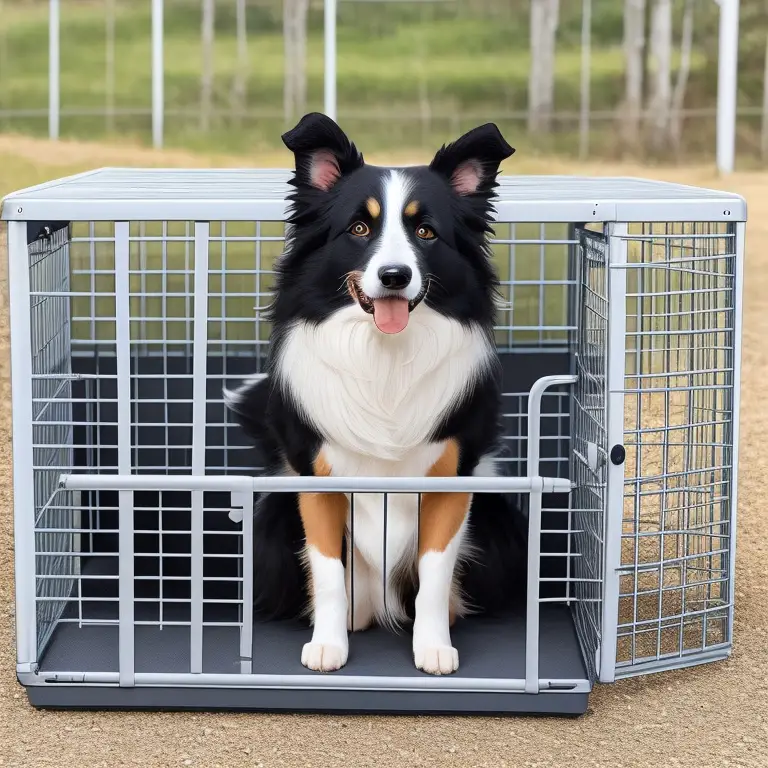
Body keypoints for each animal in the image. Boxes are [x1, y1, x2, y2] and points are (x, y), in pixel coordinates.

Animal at [224, 111, 528, 676]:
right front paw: (327, 645)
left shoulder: (450, 480)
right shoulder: (316, 480)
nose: (394, 275)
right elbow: (326, 572)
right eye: (359, 228)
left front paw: (434, 647)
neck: (384, 357)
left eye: (425, 232)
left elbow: (434, 573)